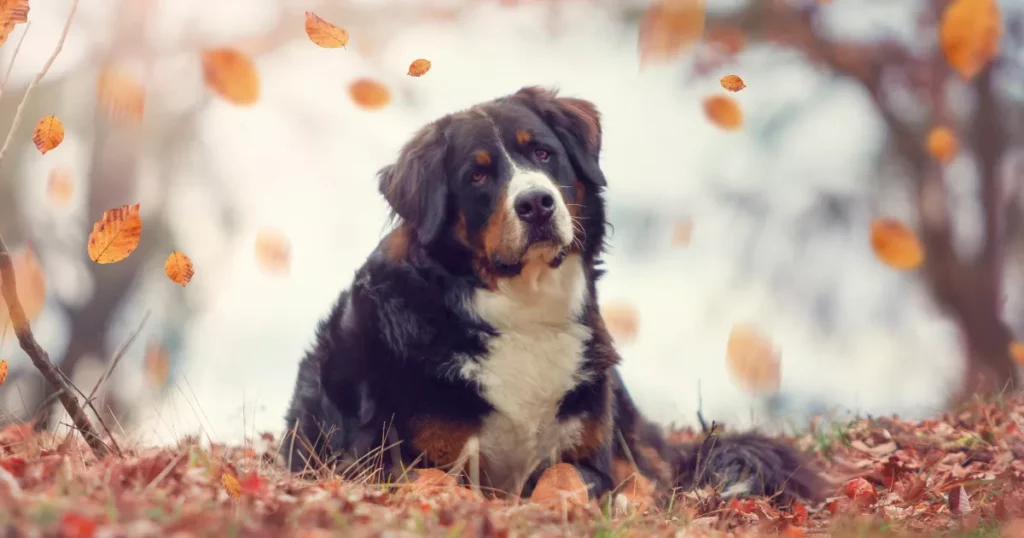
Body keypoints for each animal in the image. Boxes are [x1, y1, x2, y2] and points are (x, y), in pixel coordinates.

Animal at [278, 86, 823, 506]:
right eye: (477, 175)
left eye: (542, 153)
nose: (537, 203)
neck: (523, 308)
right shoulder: (377, 461)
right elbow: (434, 480)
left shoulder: (589, 452)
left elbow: (566, 473)